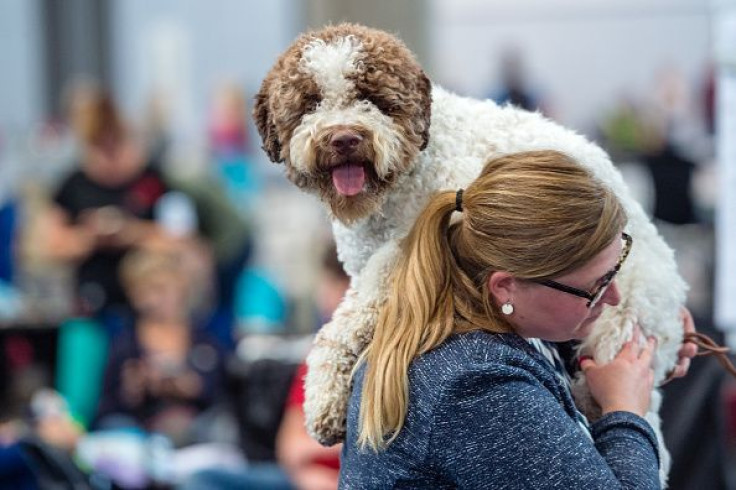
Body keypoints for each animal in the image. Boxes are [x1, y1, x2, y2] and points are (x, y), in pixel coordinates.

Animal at [256, 22, 688, 482]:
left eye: (372, 98)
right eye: (310, 102)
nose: (344, 138)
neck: (408, 174)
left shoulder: (405, 251)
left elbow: (349, 319)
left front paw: (321, 397)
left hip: (619, 326)